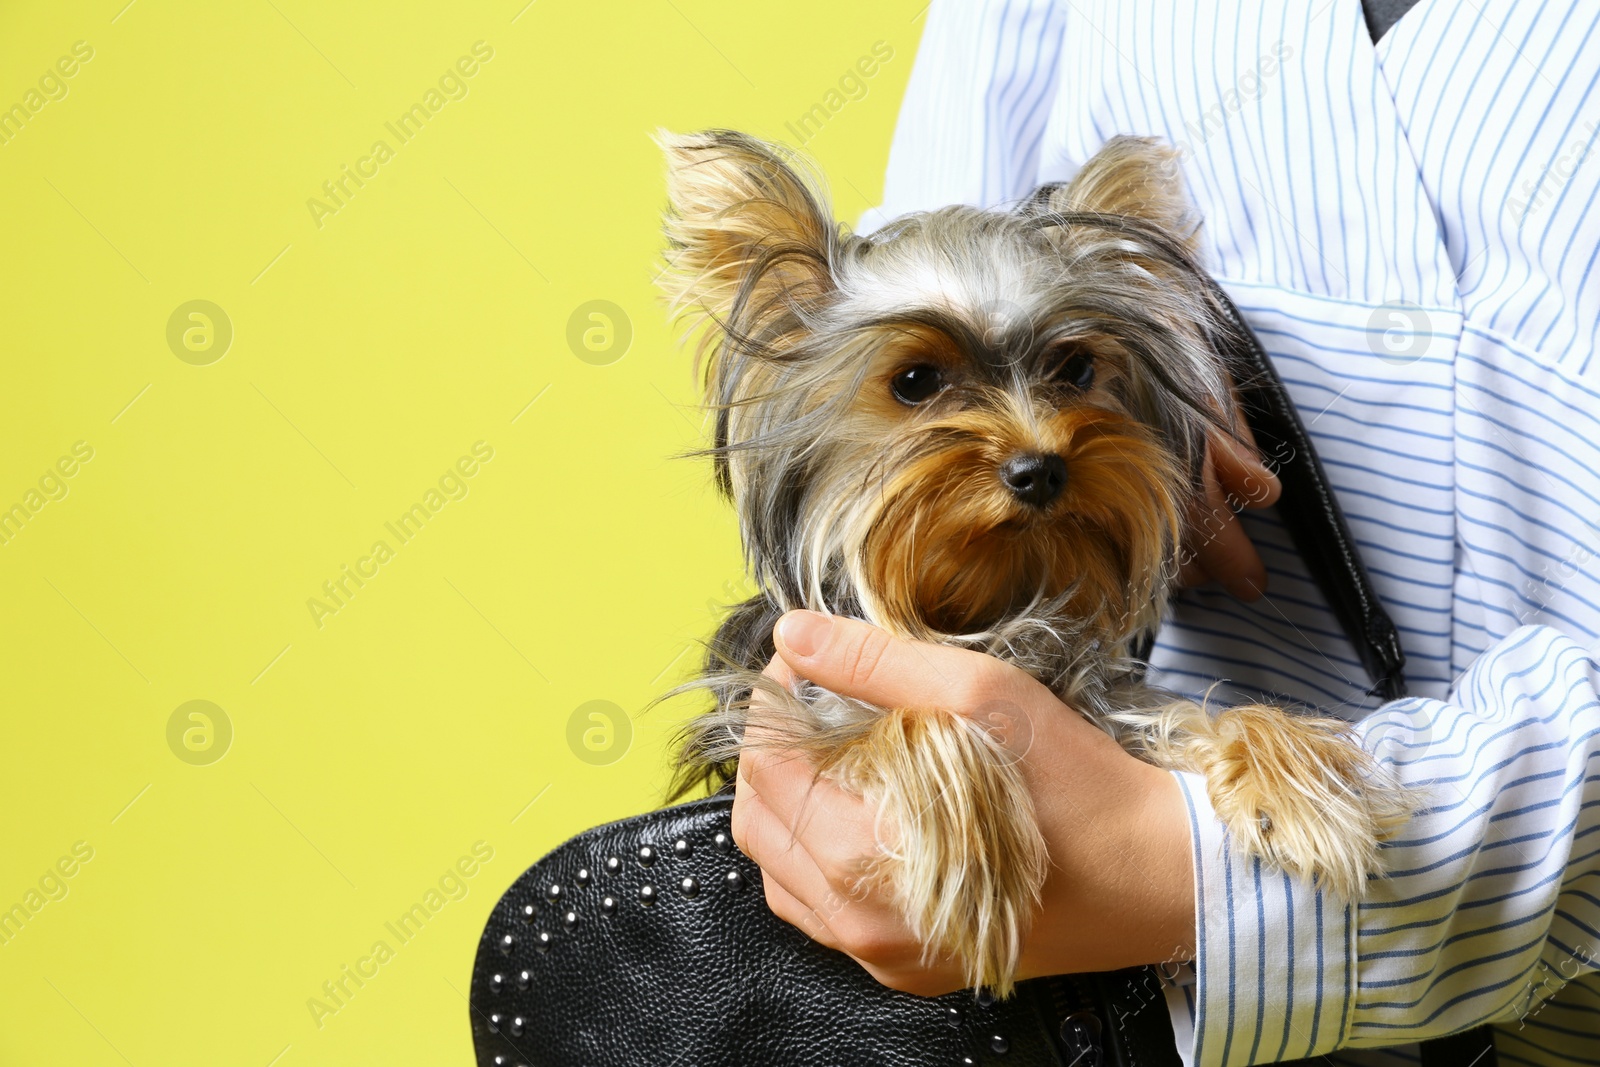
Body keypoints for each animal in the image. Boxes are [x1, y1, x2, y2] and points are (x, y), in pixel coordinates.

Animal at [649, 129, 1401, 998]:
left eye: (1075, 368)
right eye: (915, 381)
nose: (1039, 467)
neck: (991, 599)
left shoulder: (1100, 697)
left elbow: (1191, 711)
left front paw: (1300, 781)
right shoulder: (781, 710)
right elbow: (899, 716)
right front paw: (974, 862)